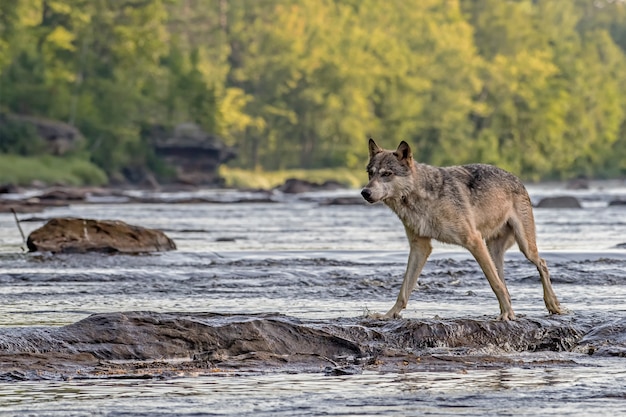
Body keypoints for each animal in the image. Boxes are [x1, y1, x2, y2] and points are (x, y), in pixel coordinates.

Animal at [360, 138, 560, 320]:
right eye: (370, 173)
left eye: (387, 174)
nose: (364, 192)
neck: (423, 197)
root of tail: (517, 178)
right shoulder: (420, 247)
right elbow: (404, 289)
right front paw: (389, 315)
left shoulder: (474, 241)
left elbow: (494, 284)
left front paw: (509, 315)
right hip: (494, 252)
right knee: (505, 282)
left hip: (524, 247)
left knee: (541, 263)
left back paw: (552, 304)